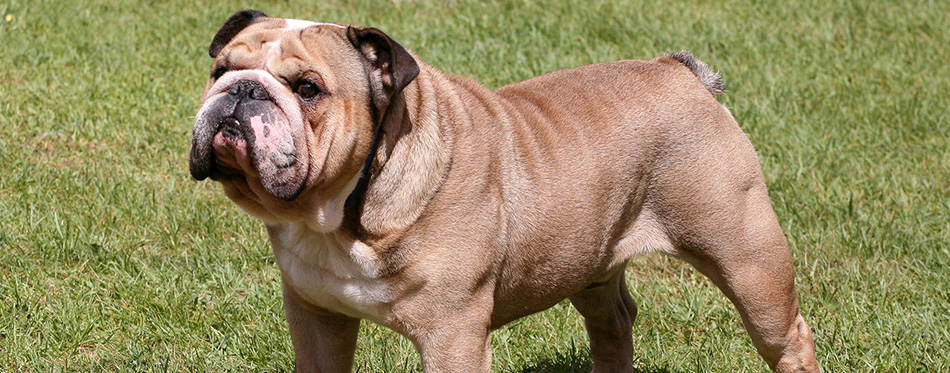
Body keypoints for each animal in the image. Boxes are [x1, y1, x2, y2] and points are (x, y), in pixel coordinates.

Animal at [190, 10, 820, 370]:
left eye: (307, 89)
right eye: (220, 69)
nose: (242, 90)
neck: (344, 210)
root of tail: (681, 72)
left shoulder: (452, 336)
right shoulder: (317, 317)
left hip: (748, 260)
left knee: (787, 335)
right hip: (590, 265)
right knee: (613, 323)